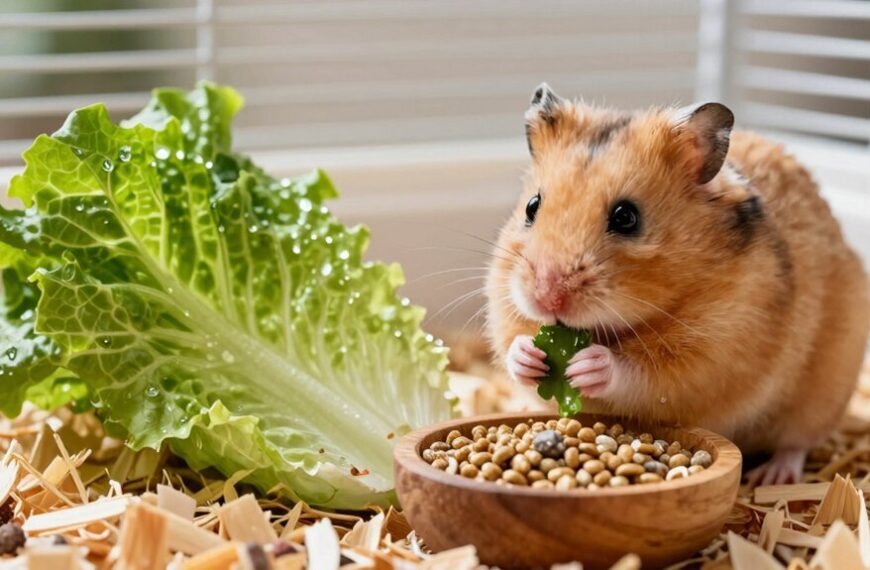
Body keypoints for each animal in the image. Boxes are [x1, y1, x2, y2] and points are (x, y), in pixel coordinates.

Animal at [486, 83, 869, 485]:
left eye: (626, 217)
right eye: (532, 206)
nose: (546, 298)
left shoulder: (714, 350)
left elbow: (643, 374)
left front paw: (588, 364)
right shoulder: (504, 302)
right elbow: (513, 343)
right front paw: (527, 355)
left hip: (822, 393)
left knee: (798, 443)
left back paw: (772, 477)